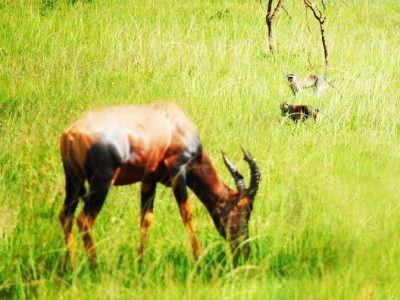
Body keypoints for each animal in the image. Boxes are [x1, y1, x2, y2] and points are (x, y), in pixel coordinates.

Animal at [58, 101, 260, 268]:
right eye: (243, 209)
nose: (243, 250)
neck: (175, 122)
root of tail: (71, 133)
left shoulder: (149, 180)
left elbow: (146, 220)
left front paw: (139, 265)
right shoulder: (178, 170)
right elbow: (187, 214)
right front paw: (199, 260)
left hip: (74, 180)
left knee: (65, 216)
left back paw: (70, 268)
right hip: (101, 183)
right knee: (84, 220)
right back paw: (95, 268)